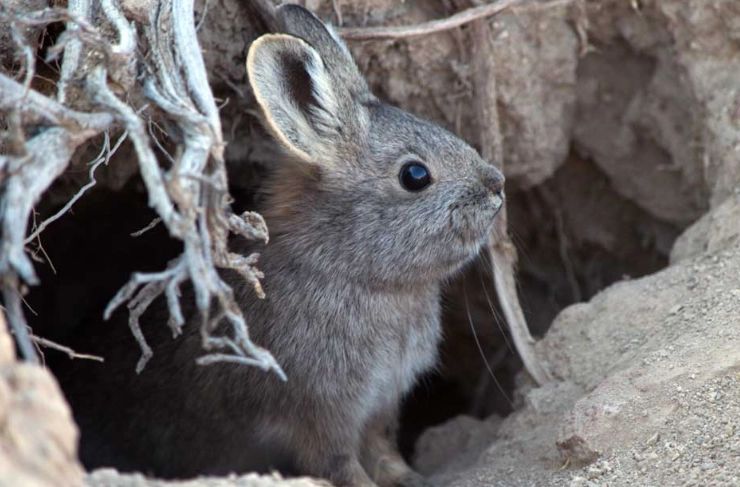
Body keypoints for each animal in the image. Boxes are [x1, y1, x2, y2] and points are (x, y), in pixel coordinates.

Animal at [56, 4, 504, 487]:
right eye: (415, 175)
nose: (496, 186)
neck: (352, 271)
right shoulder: (320, 412)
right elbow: (340, 464)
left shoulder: (379, 405)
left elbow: (383, 451)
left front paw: (411, 478)